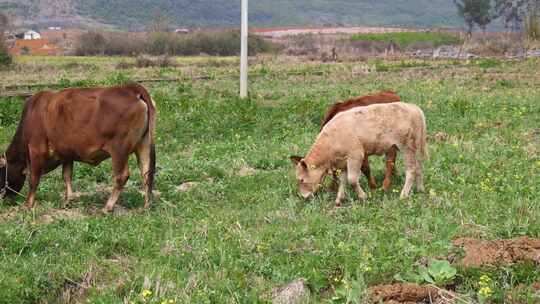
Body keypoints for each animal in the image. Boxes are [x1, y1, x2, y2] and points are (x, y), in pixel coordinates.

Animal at [0, 82, 156, 213]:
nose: (3, 199)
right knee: (146, 172)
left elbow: (33, 179)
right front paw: (68, 200)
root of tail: (130, 88)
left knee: (122, 175)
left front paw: (28, 204)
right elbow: (67, 175)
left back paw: (108, 207)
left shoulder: (36, 150)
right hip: (143, 144)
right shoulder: (66, 153)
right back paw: (146, 206)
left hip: (119, 150)